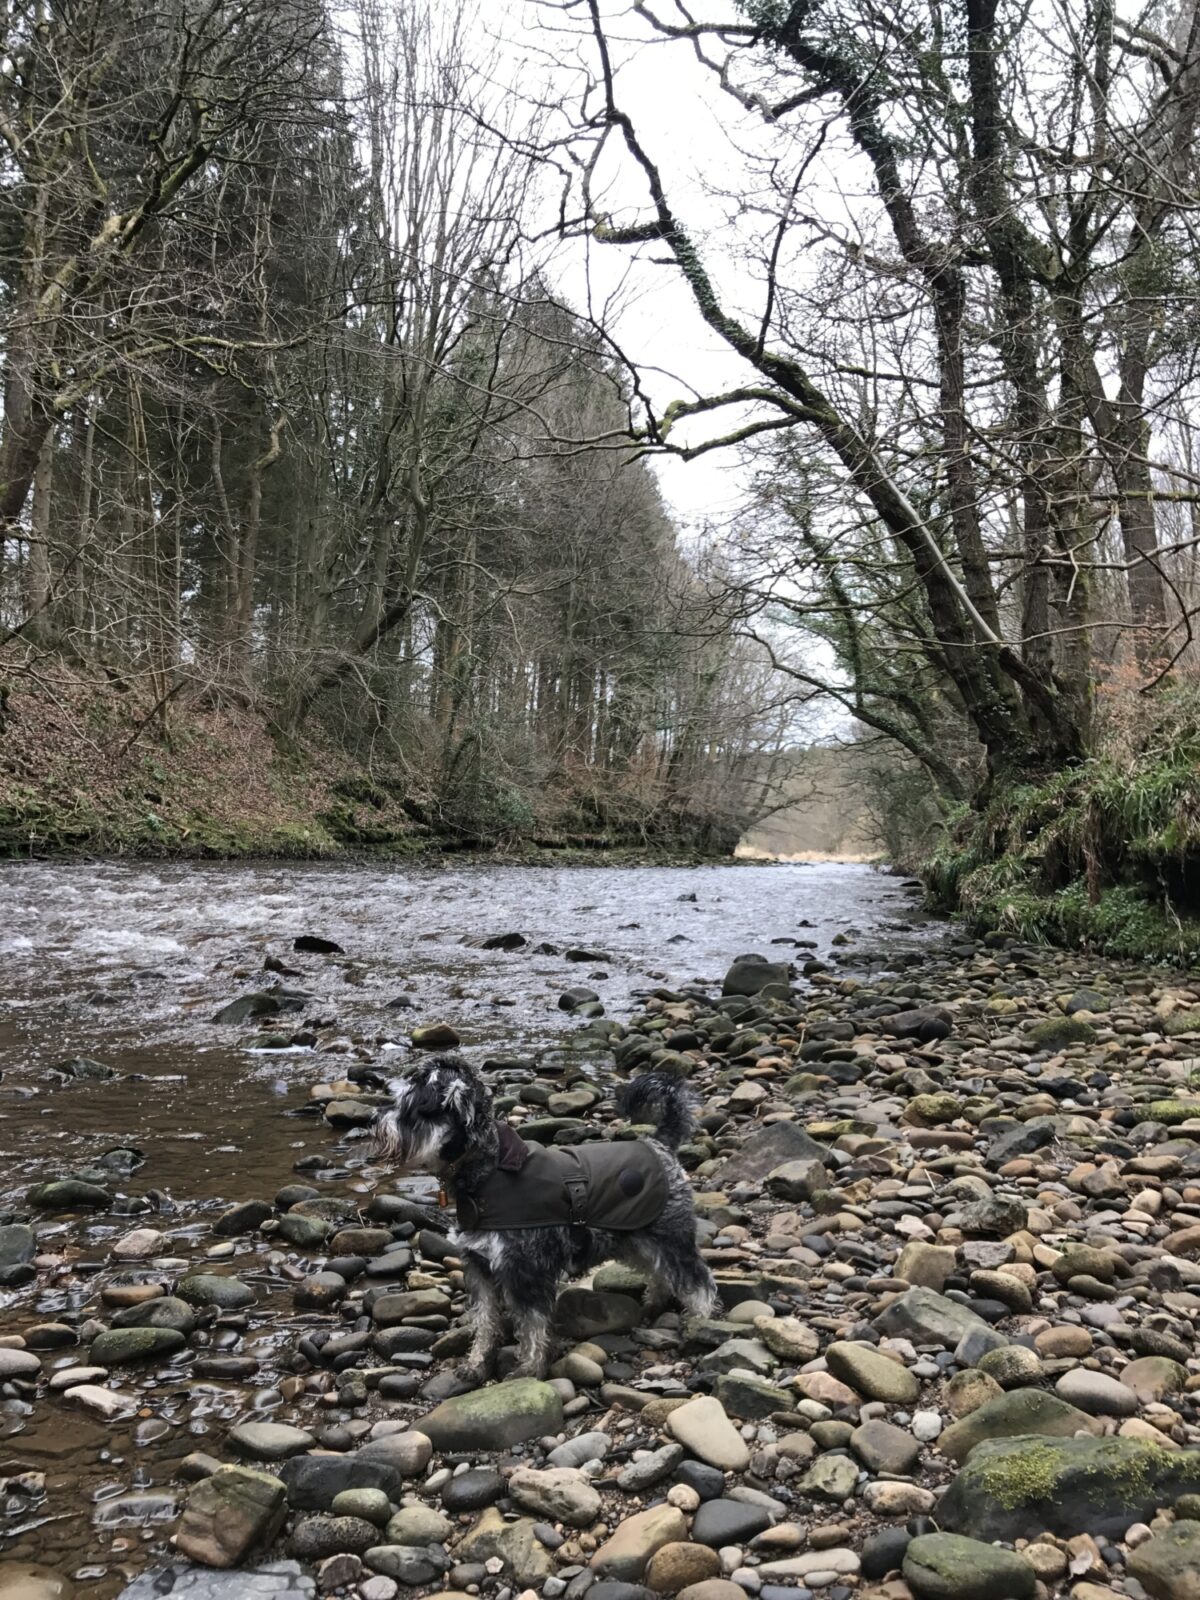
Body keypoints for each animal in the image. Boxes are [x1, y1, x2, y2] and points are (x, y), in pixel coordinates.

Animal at [371, 1056, 720, 1382]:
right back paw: (654, 1303)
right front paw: (476, 1364)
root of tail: (660, 1144)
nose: (374, 1119)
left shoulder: (525, 1270)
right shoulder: (479, 1268)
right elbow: (485, 1320)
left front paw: (529, 1369)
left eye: (413, 1106)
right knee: (660, 1271)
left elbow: (532, 1325)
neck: (487, 1173)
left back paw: (701, 1323)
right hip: (636, 1239)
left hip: (671, 1237)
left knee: (696, 1279)